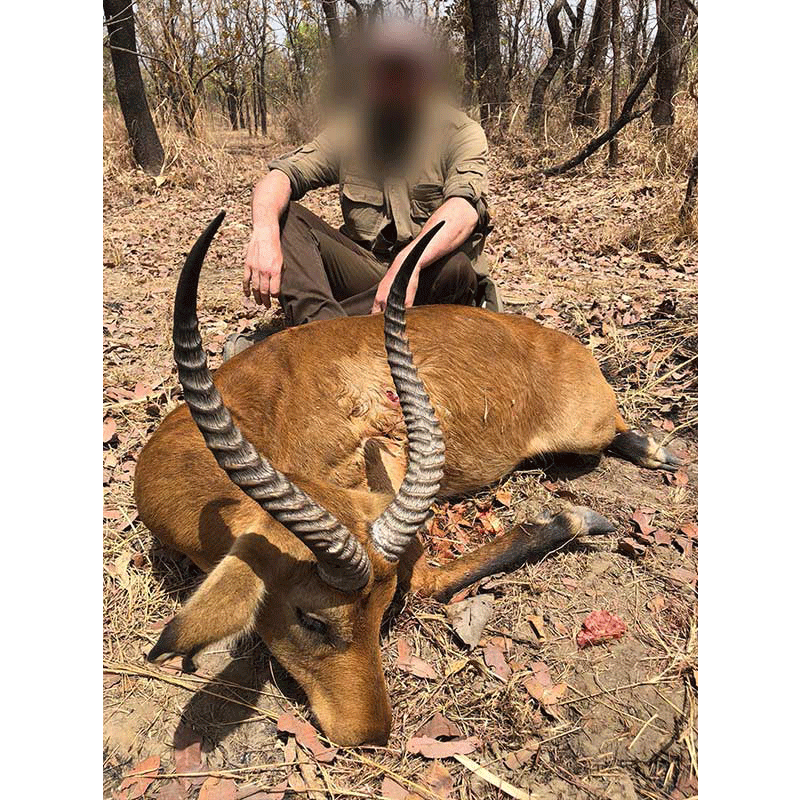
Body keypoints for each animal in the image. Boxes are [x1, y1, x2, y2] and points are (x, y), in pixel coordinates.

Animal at [134, 211, 680, 744]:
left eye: (381, 608)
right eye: (311, 618)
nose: (371, 733)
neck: (261, 409)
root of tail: (559, 341)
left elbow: (429, 580)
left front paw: (575, 518)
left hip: (586, 432)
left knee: (617, 431)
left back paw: (655, 451)